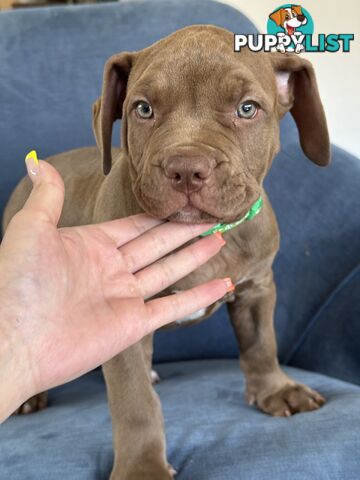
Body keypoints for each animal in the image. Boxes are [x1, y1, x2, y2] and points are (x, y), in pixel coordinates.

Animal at [2, 25, 330, 480]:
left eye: (247, 108)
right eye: (143, 108)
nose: (187, 168)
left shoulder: (257, 287)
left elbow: (262, 343)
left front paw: (277, 390)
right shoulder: (123, 319)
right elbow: (135, 401)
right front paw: (142, 467)